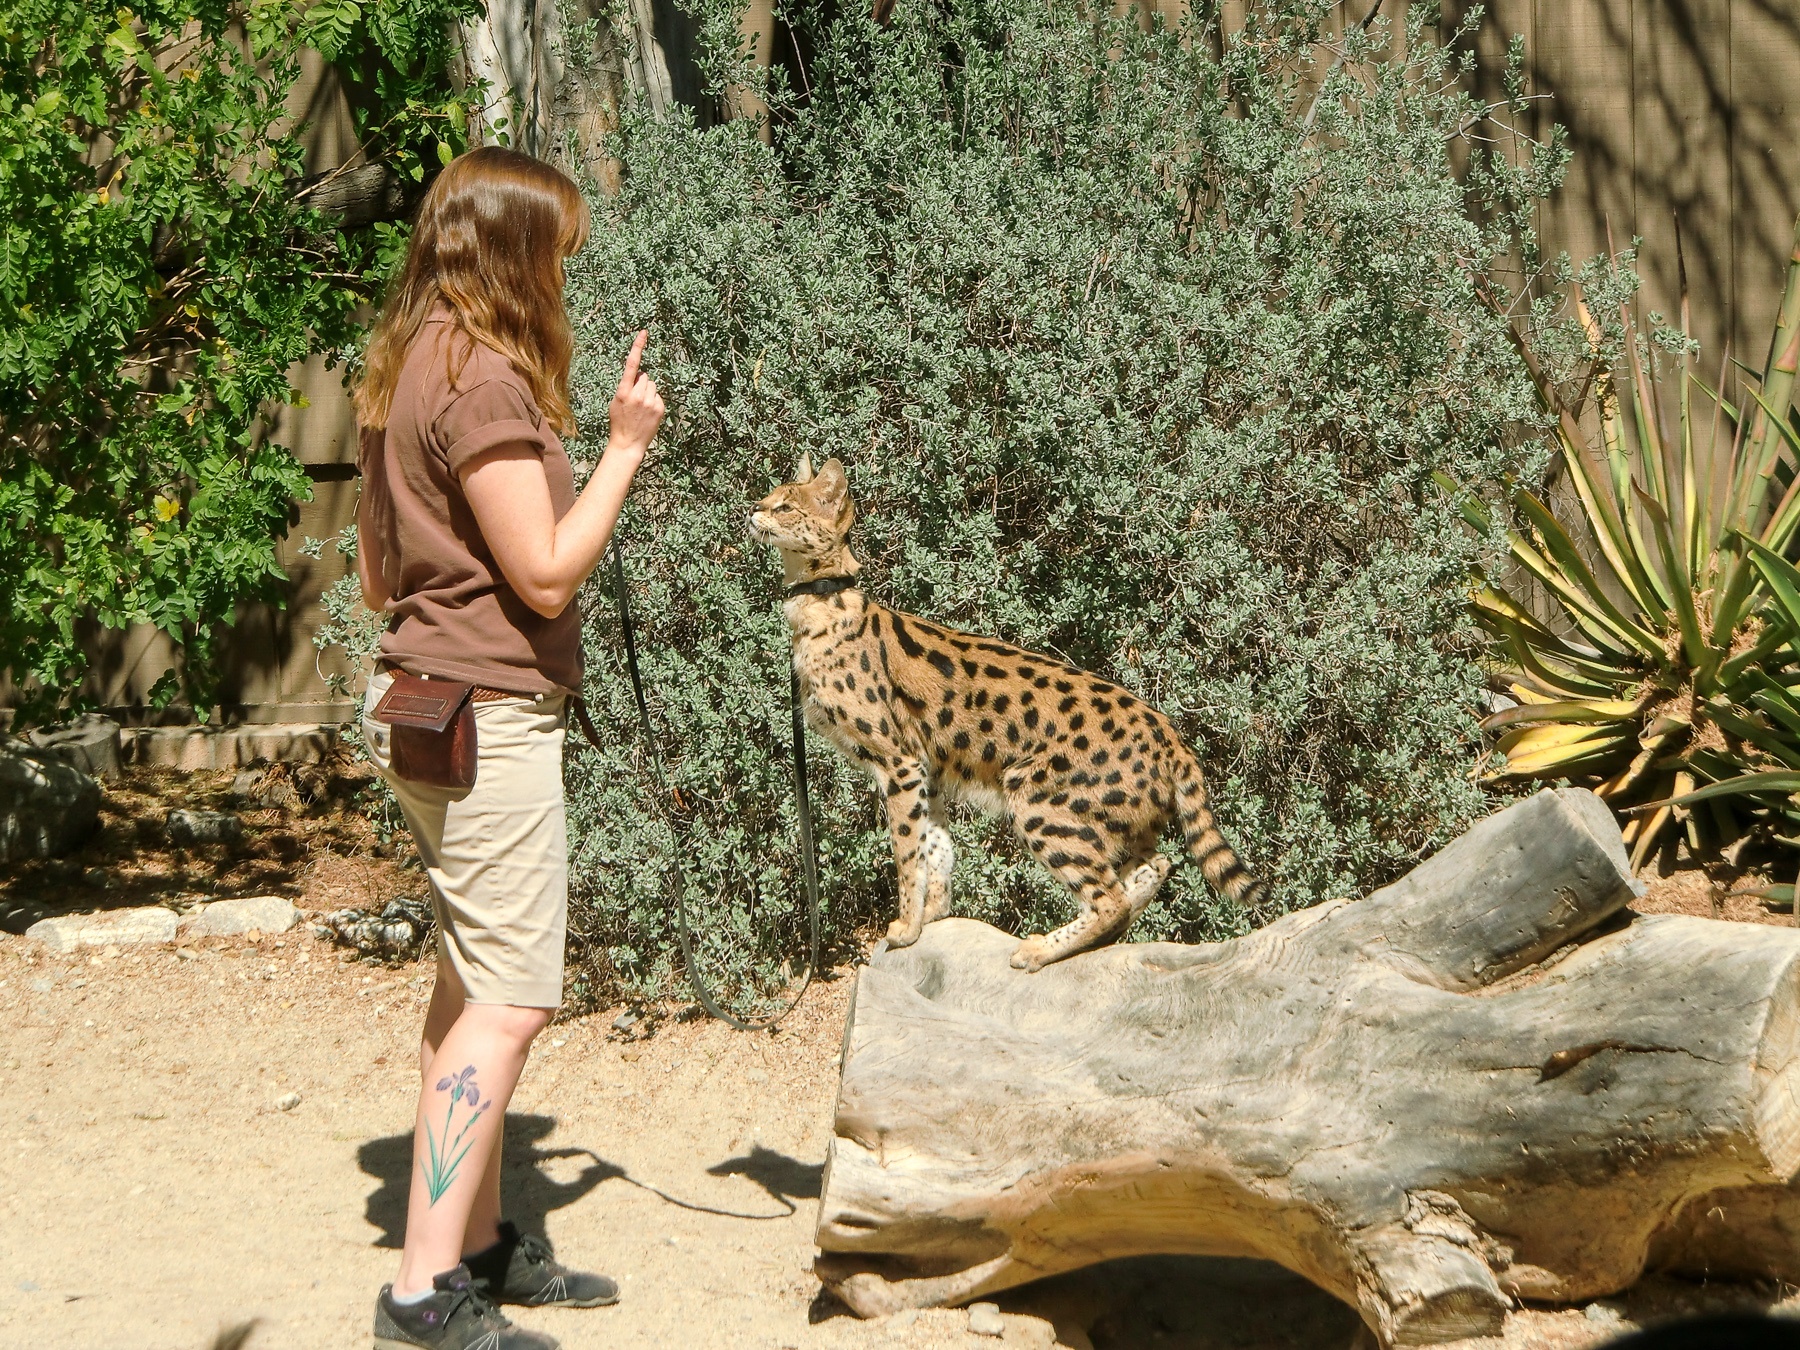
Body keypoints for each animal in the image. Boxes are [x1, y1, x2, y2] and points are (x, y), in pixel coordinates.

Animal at [745, 455, 1267, 972]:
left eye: (786, 506)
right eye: (769, 496)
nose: (753, 510)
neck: (823, 599)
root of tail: (1169, 734)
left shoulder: (899, 762)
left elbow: (907, 850)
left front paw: (907, 927)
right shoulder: (926, 767)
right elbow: (937, 845)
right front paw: (934, 916)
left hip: (1040, 801)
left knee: (1110, 896)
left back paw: (1041, 950)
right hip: (1115, 817)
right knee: (1152, 867)